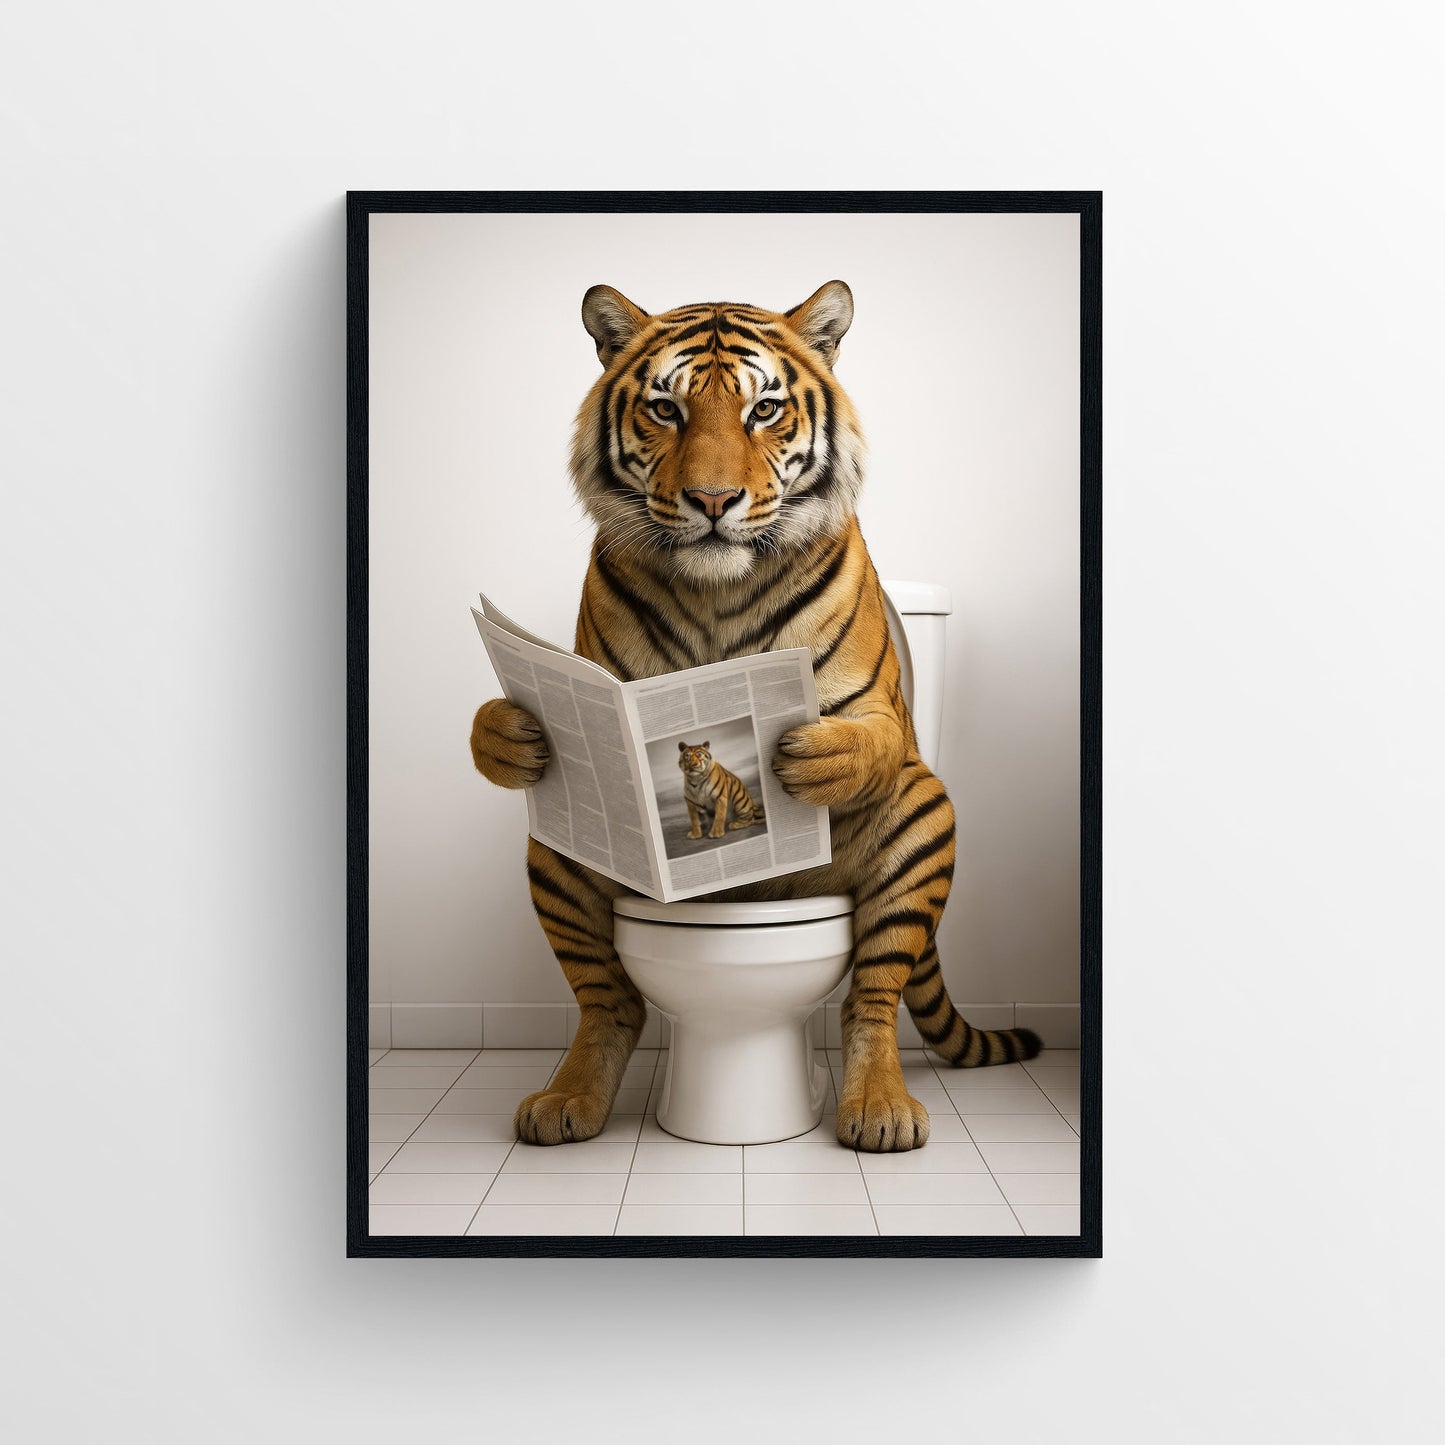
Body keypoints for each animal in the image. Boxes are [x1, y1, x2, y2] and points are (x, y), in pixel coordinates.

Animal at [469, 279, 1041, 1152]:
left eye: (763, 409)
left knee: (869, 995)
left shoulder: (879, 712)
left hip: (919, 819)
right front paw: (514, 734)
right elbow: (504, 722)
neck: (717, 590)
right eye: (665, 410)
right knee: (611, 999)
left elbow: (869, 738)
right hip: (562, 850)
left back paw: (879, 1109)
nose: (712, 500)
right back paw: (567, 1099)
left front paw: (809, 755)